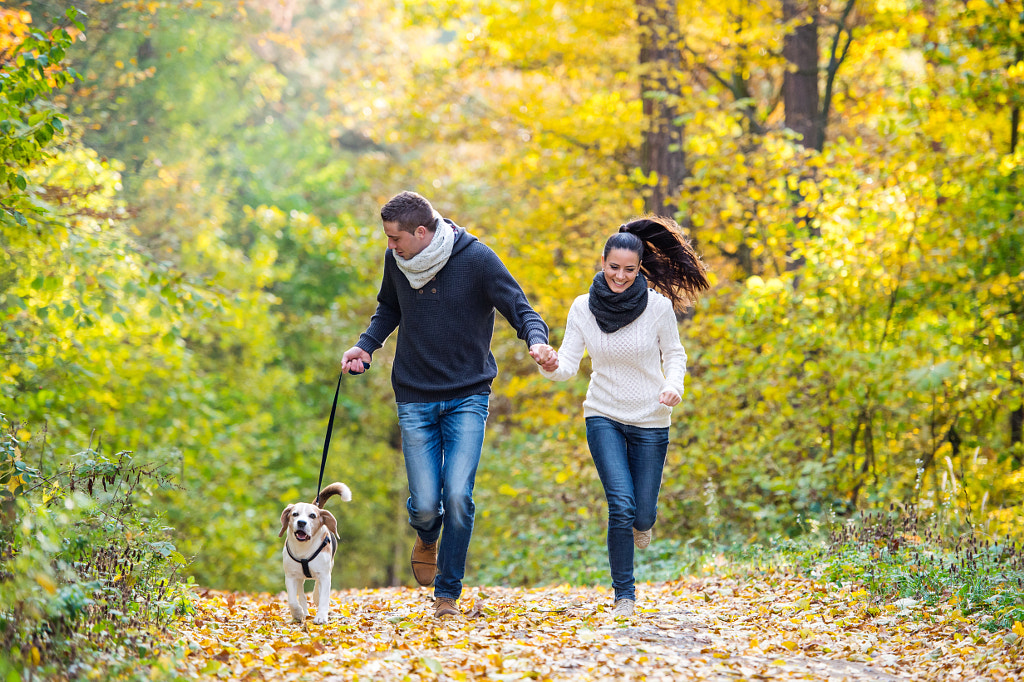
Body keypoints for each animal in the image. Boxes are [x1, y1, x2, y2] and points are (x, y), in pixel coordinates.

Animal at [280, 477, 352, 622]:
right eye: (295, 514)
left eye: (312, 516)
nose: (301, 522)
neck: (304, 548)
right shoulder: (290, 576)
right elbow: (292, 600)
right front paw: (297, 613)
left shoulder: (324, 575)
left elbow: (323, 597)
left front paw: (321, 617)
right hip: (299, 578)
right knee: (301, 594)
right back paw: (304, 611)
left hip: (328, 568)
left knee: (317, 589)